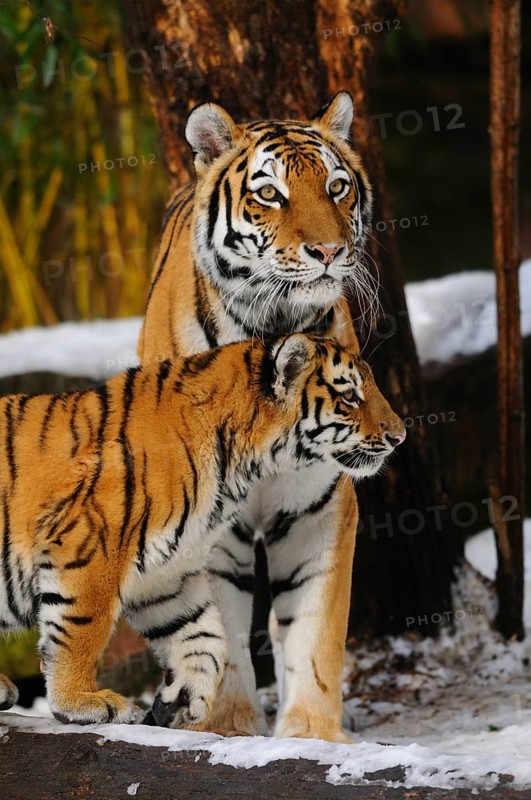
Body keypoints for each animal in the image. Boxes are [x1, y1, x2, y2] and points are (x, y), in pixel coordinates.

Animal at [0, 334, 404, 728]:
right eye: (350, 396)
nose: (399, 436)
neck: (244, 463)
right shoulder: (90, 546)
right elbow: (81, 630)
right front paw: (83, 701)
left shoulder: (165, 573)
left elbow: (206, 638)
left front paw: (181, 699)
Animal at [138, 91, 377, 741]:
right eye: (271, 193)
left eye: (337, 187)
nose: (330, 252)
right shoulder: (203, 519)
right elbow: (218, 628)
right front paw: (227, 728)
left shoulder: (320, 502)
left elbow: (314, 629)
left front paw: (312, 735)